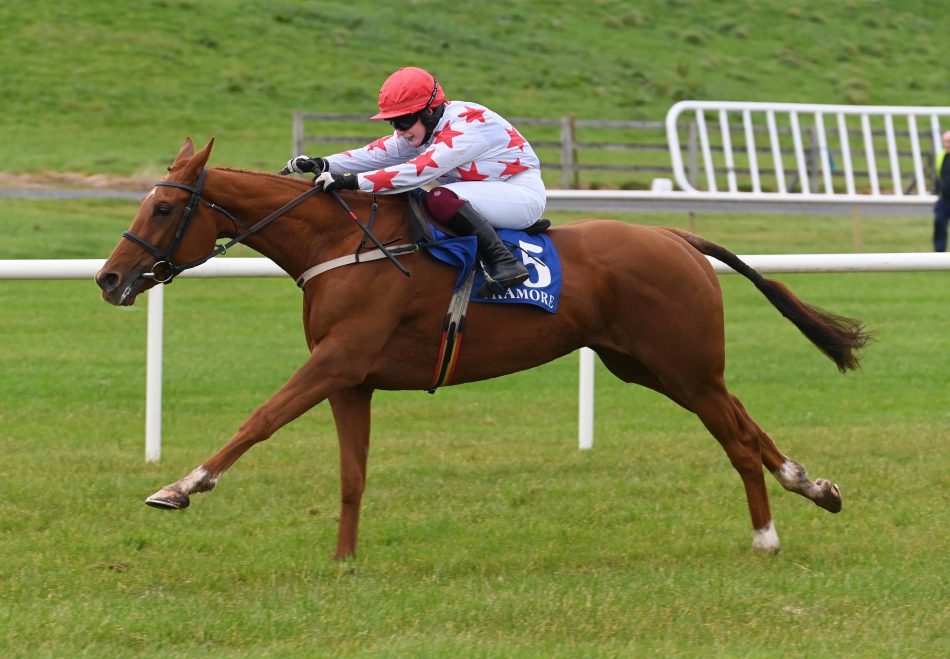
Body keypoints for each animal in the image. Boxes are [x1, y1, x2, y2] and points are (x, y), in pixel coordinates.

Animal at [95, 139, 872, 564]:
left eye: (163, 207)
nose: (108, 278)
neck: (338, 243)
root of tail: (676, 236)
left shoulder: (335, 361)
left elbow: (257, 420)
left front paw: (180, 485)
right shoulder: (351, 379)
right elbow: (352, 477)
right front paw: (344, 561)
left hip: (683, 364)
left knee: (735, 439)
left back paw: (767, 535)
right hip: (652, 367)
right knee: (746, 421)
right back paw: (816, 487)